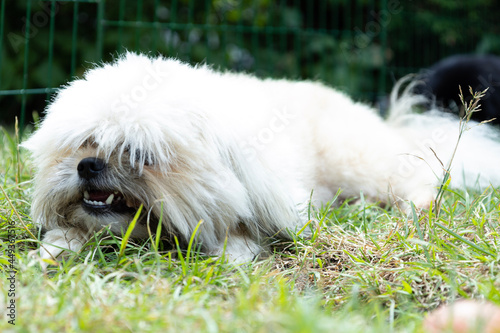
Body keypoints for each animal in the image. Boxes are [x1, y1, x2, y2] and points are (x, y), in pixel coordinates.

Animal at [24, 52, 500, 264]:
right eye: (86, 143)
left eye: (138, 153)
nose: (89, 166)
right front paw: (55, 251)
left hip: (361, 164)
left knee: (418, 183)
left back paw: (414, 211)